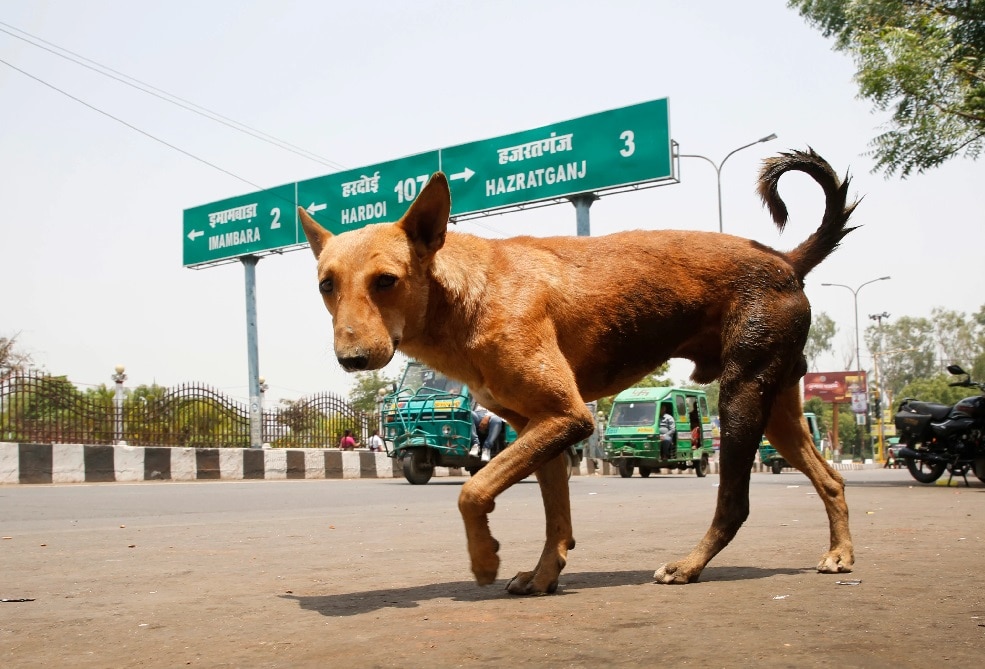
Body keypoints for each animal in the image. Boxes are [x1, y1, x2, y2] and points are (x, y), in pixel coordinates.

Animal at [296, 149, 856, 592]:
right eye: (326, 285)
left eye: (386, 280)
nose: (352, 360)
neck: (466, 296)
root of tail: (785, 259)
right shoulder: (539, 425)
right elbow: (554, 517)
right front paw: (544, 576)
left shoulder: (567, 417)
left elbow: (473, 490)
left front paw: (485, 559)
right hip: (776, 405)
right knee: (830, 479)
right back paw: (840, 554)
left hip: (742, 397)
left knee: (734, 502)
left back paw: (689, 566)